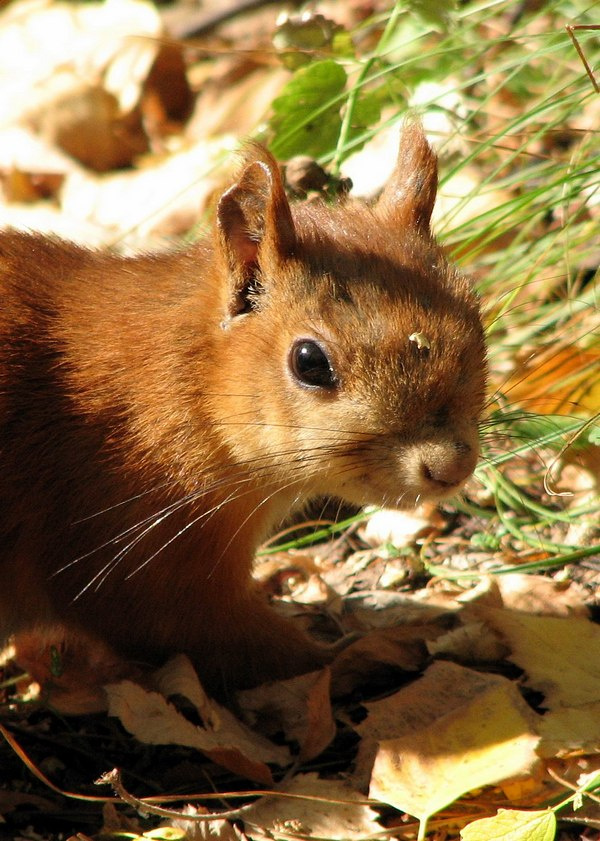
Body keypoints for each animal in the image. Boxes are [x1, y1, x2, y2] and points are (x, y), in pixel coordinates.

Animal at [0, 123, 487, 697]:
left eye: (474, 314)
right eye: (309, 362)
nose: (452, 467)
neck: (173, 385)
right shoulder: (127, 536)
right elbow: (207, 631)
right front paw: (368, 649)